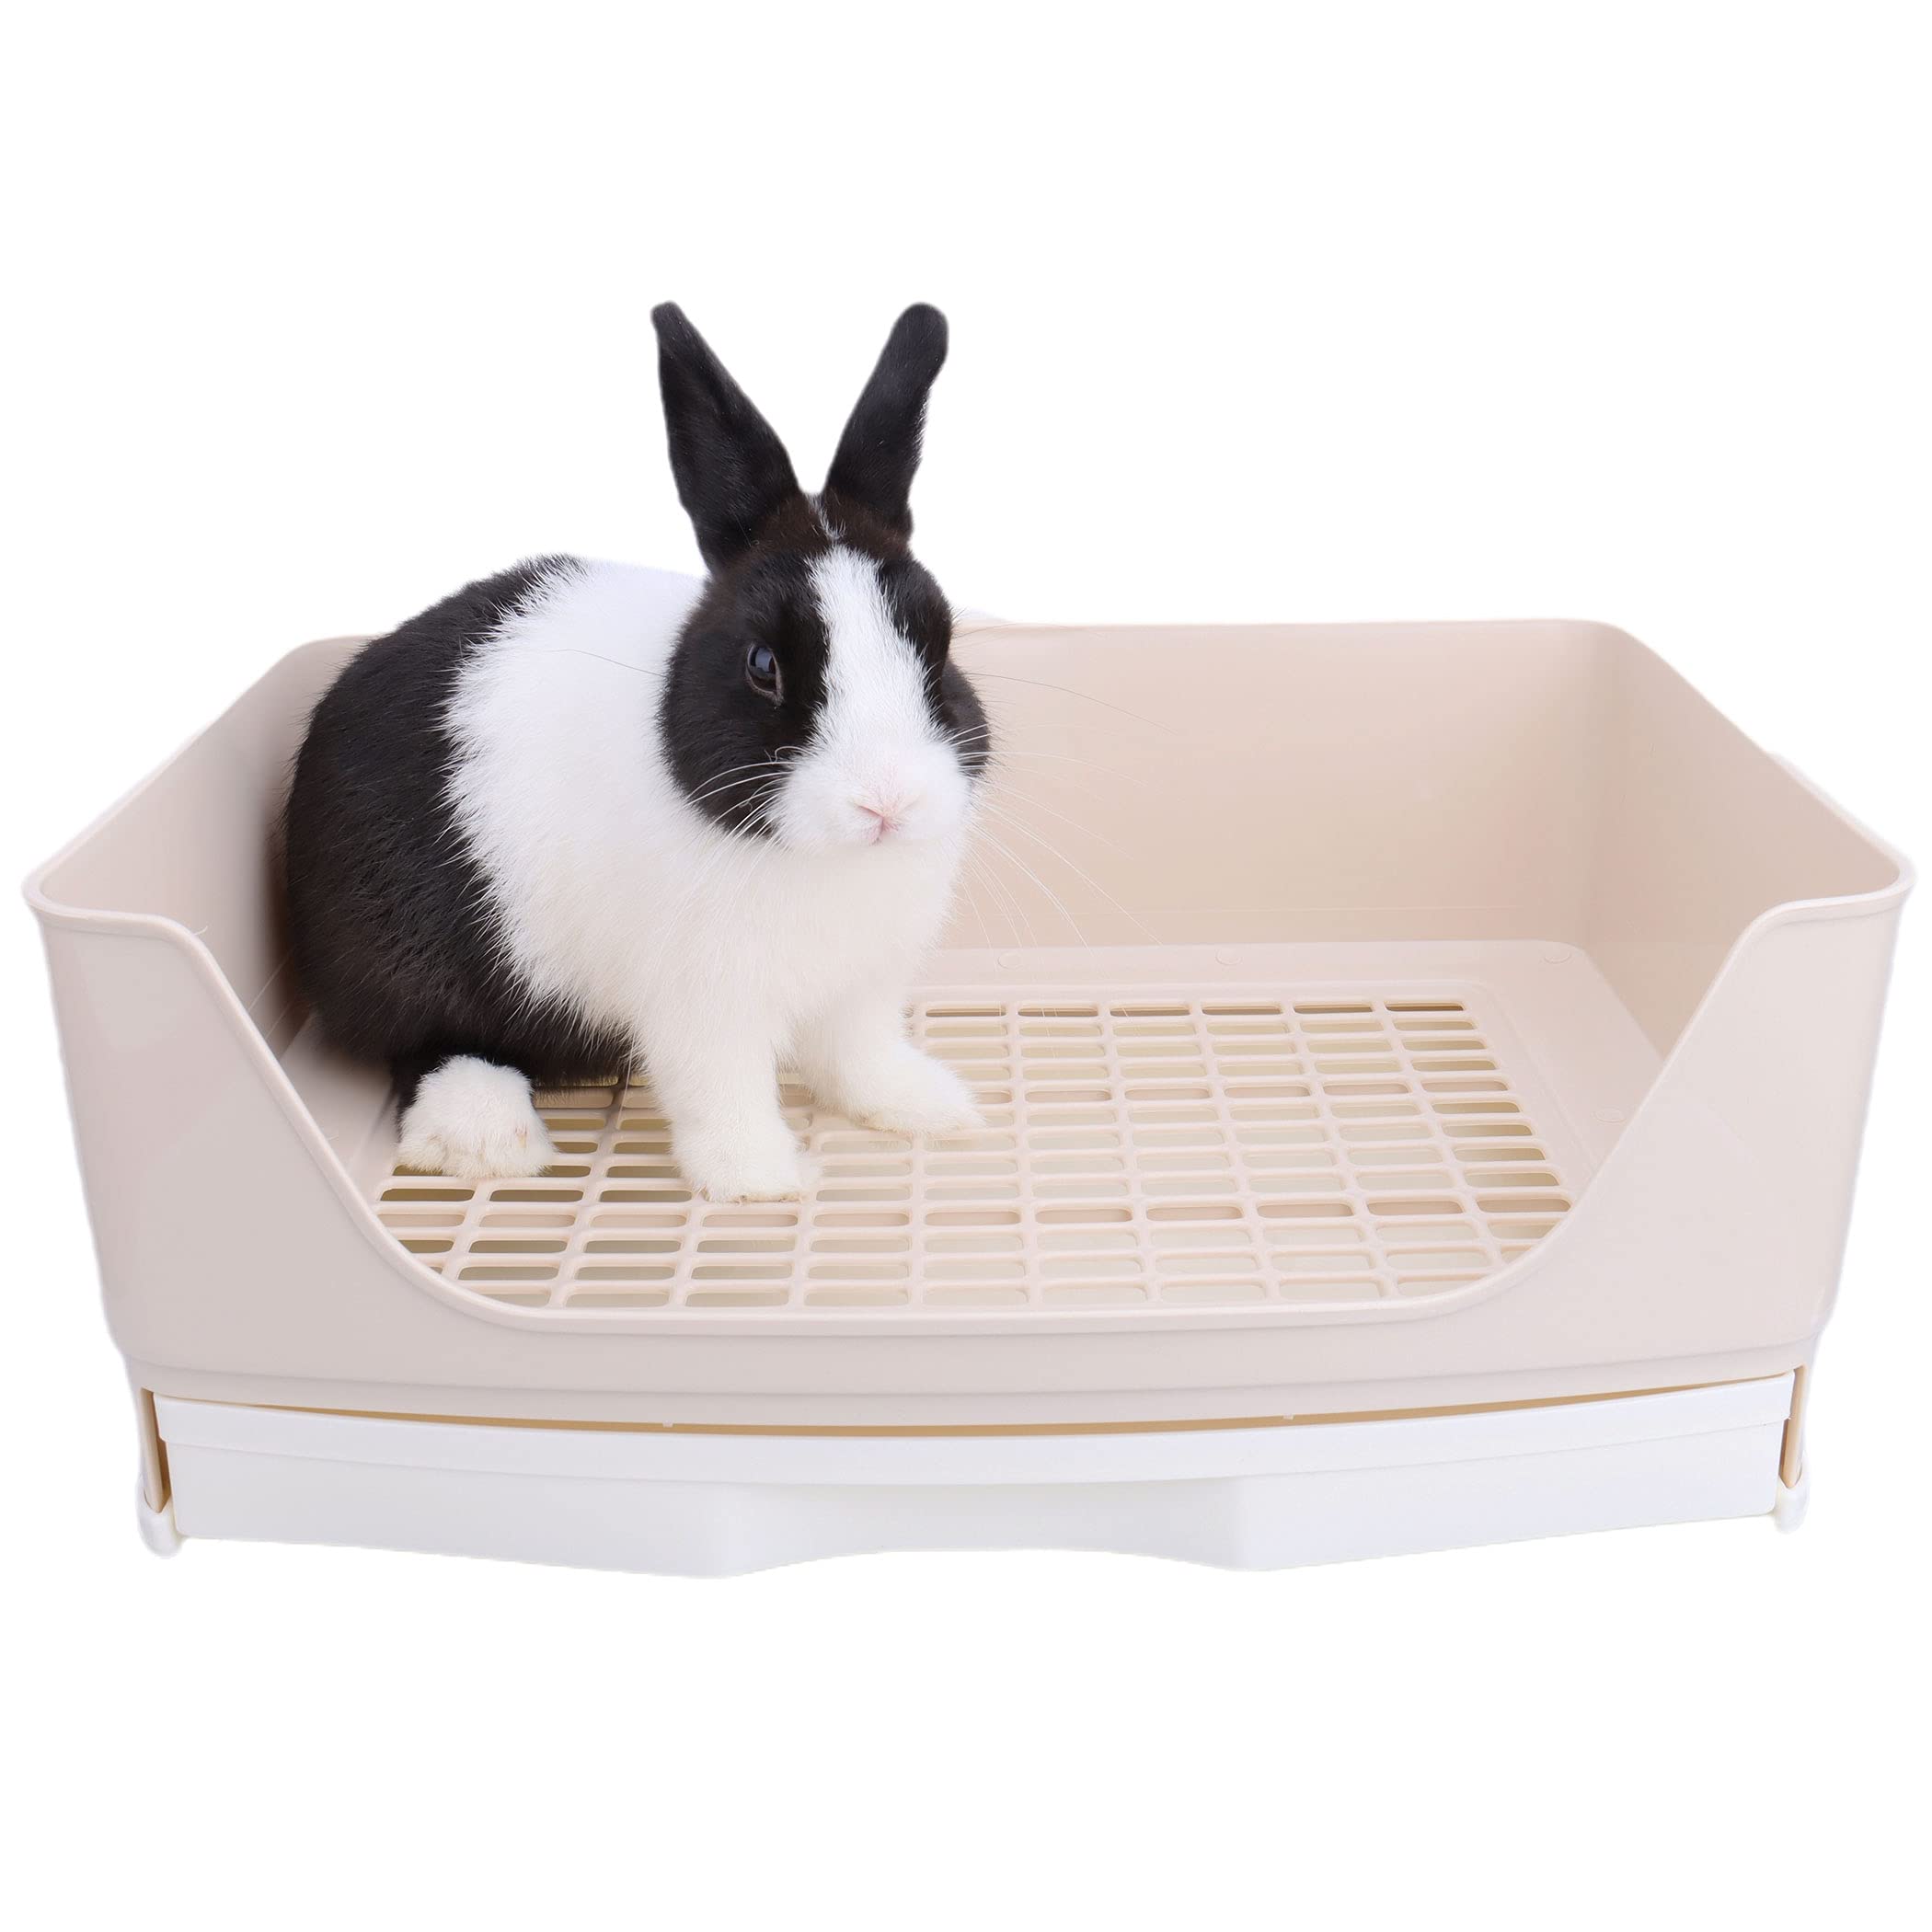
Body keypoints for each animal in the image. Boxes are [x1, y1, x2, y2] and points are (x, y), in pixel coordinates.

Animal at [284, 303, 990, 1201]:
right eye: (762, 665)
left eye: (938, 644)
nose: (887, 801)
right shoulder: (702, 1003)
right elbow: (723, 1089)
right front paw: (760, 1181)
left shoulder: (861, 986)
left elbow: (858, 1058)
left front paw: (927, 1109)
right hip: (400, 958)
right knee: (420, 1044)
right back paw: (490, 1139)